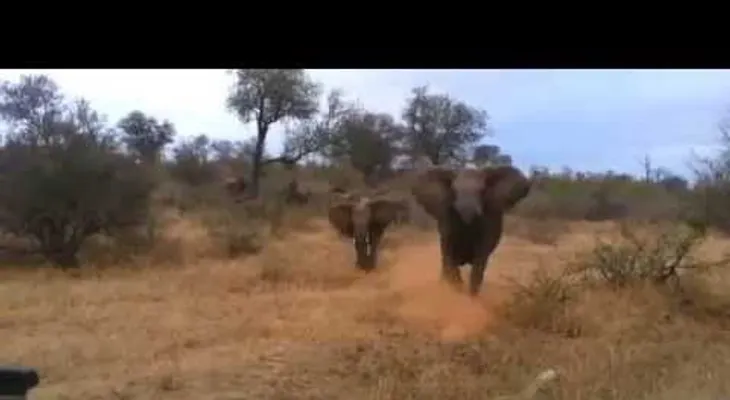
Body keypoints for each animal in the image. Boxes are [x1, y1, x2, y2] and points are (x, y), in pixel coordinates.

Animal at [412, 164, 532, 296]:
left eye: (482, 191)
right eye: (454, 191)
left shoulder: (488, 219)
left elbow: (480, 257)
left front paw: (471, 297)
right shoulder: (447, 216)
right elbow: (449, 252)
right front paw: (456, 291)